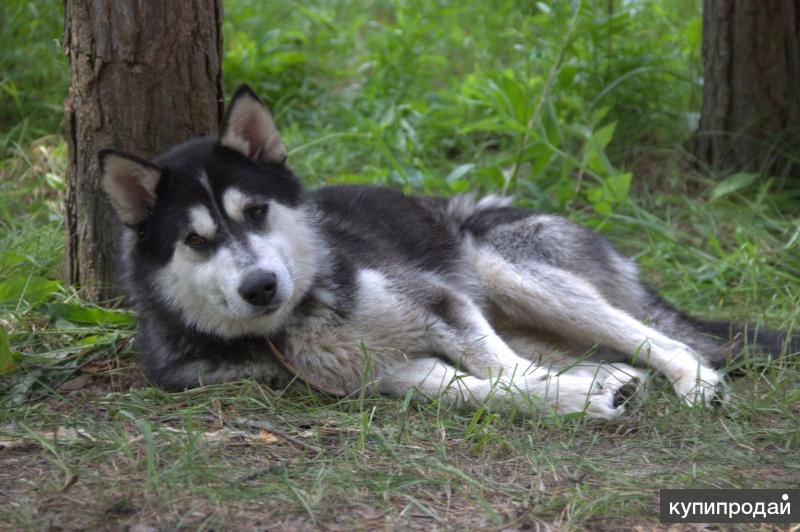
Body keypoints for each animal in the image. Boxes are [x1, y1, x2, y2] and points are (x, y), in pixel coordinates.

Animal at [100, 84, 792, 420]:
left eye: (255, 212)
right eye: (197, 240)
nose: (261, 286)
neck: (297, 321)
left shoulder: (442, 303)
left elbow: (503, 370)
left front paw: (561, 394)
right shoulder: (378, 375)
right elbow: (485, 387)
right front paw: (571, 398)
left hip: (508, 271)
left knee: (659, 338)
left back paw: (694, 382)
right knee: (598, 356)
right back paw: (607, 379)